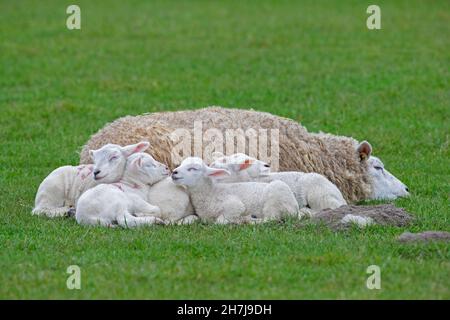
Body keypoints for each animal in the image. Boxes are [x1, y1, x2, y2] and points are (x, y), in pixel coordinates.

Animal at [171, 156, 300, 224]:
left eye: (193, 169)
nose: (174, 172)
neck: (210, 193)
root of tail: (295, 208)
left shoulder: (235, 205)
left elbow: (219, 222)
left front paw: (236, 220)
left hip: (276, 197)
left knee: (271, 219)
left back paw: (249, 220)